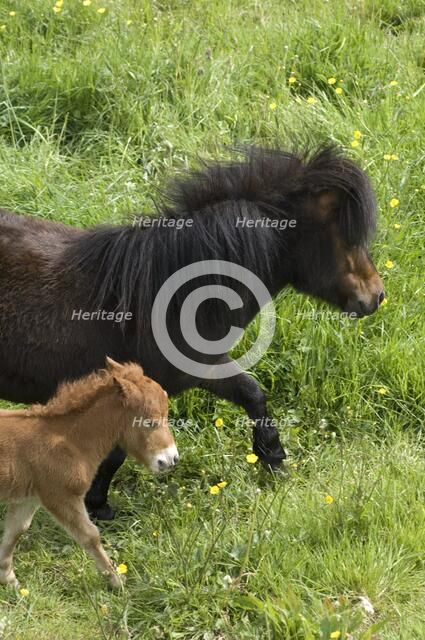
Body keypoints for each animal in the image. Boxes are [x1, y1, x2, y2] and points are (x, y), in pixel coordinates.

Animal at [0, 145, 384, 520]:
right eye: (347, 238)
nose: (377, 295)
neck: (166, 293)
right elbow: (118, 450)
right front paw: (98, 503)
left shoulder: (204, 368)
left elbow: (253, 394)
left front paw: (273, 461)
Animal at [0, 358, 177, 589]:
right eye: (149, 422)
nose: (171, 459)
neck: (69, 441)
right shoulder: (61, 496)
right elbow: (90, 535)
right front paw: (117, 582)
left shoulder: (28, 499)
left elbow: (15, 532)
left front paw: (9, 580)